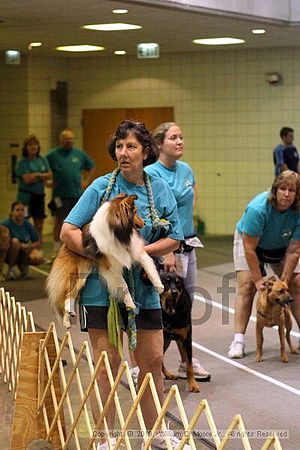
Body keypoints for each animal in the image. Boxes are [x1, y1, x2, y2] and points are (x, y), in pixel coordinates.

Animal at [46, 193, 164, 326]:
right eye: (134, 212)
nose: (144, 223)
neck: (119, 233)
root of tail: (64, 246)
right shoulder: (111, 268)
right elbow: (124, 286)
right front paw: (131, 304)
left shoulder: (136, 250)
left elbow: (149, 266)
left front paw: (159, 286)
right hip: (76, 275)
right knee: (67, 295)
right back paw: (67, 317)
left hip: (82, 276)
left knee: (70, 294)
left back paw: (68, 318)